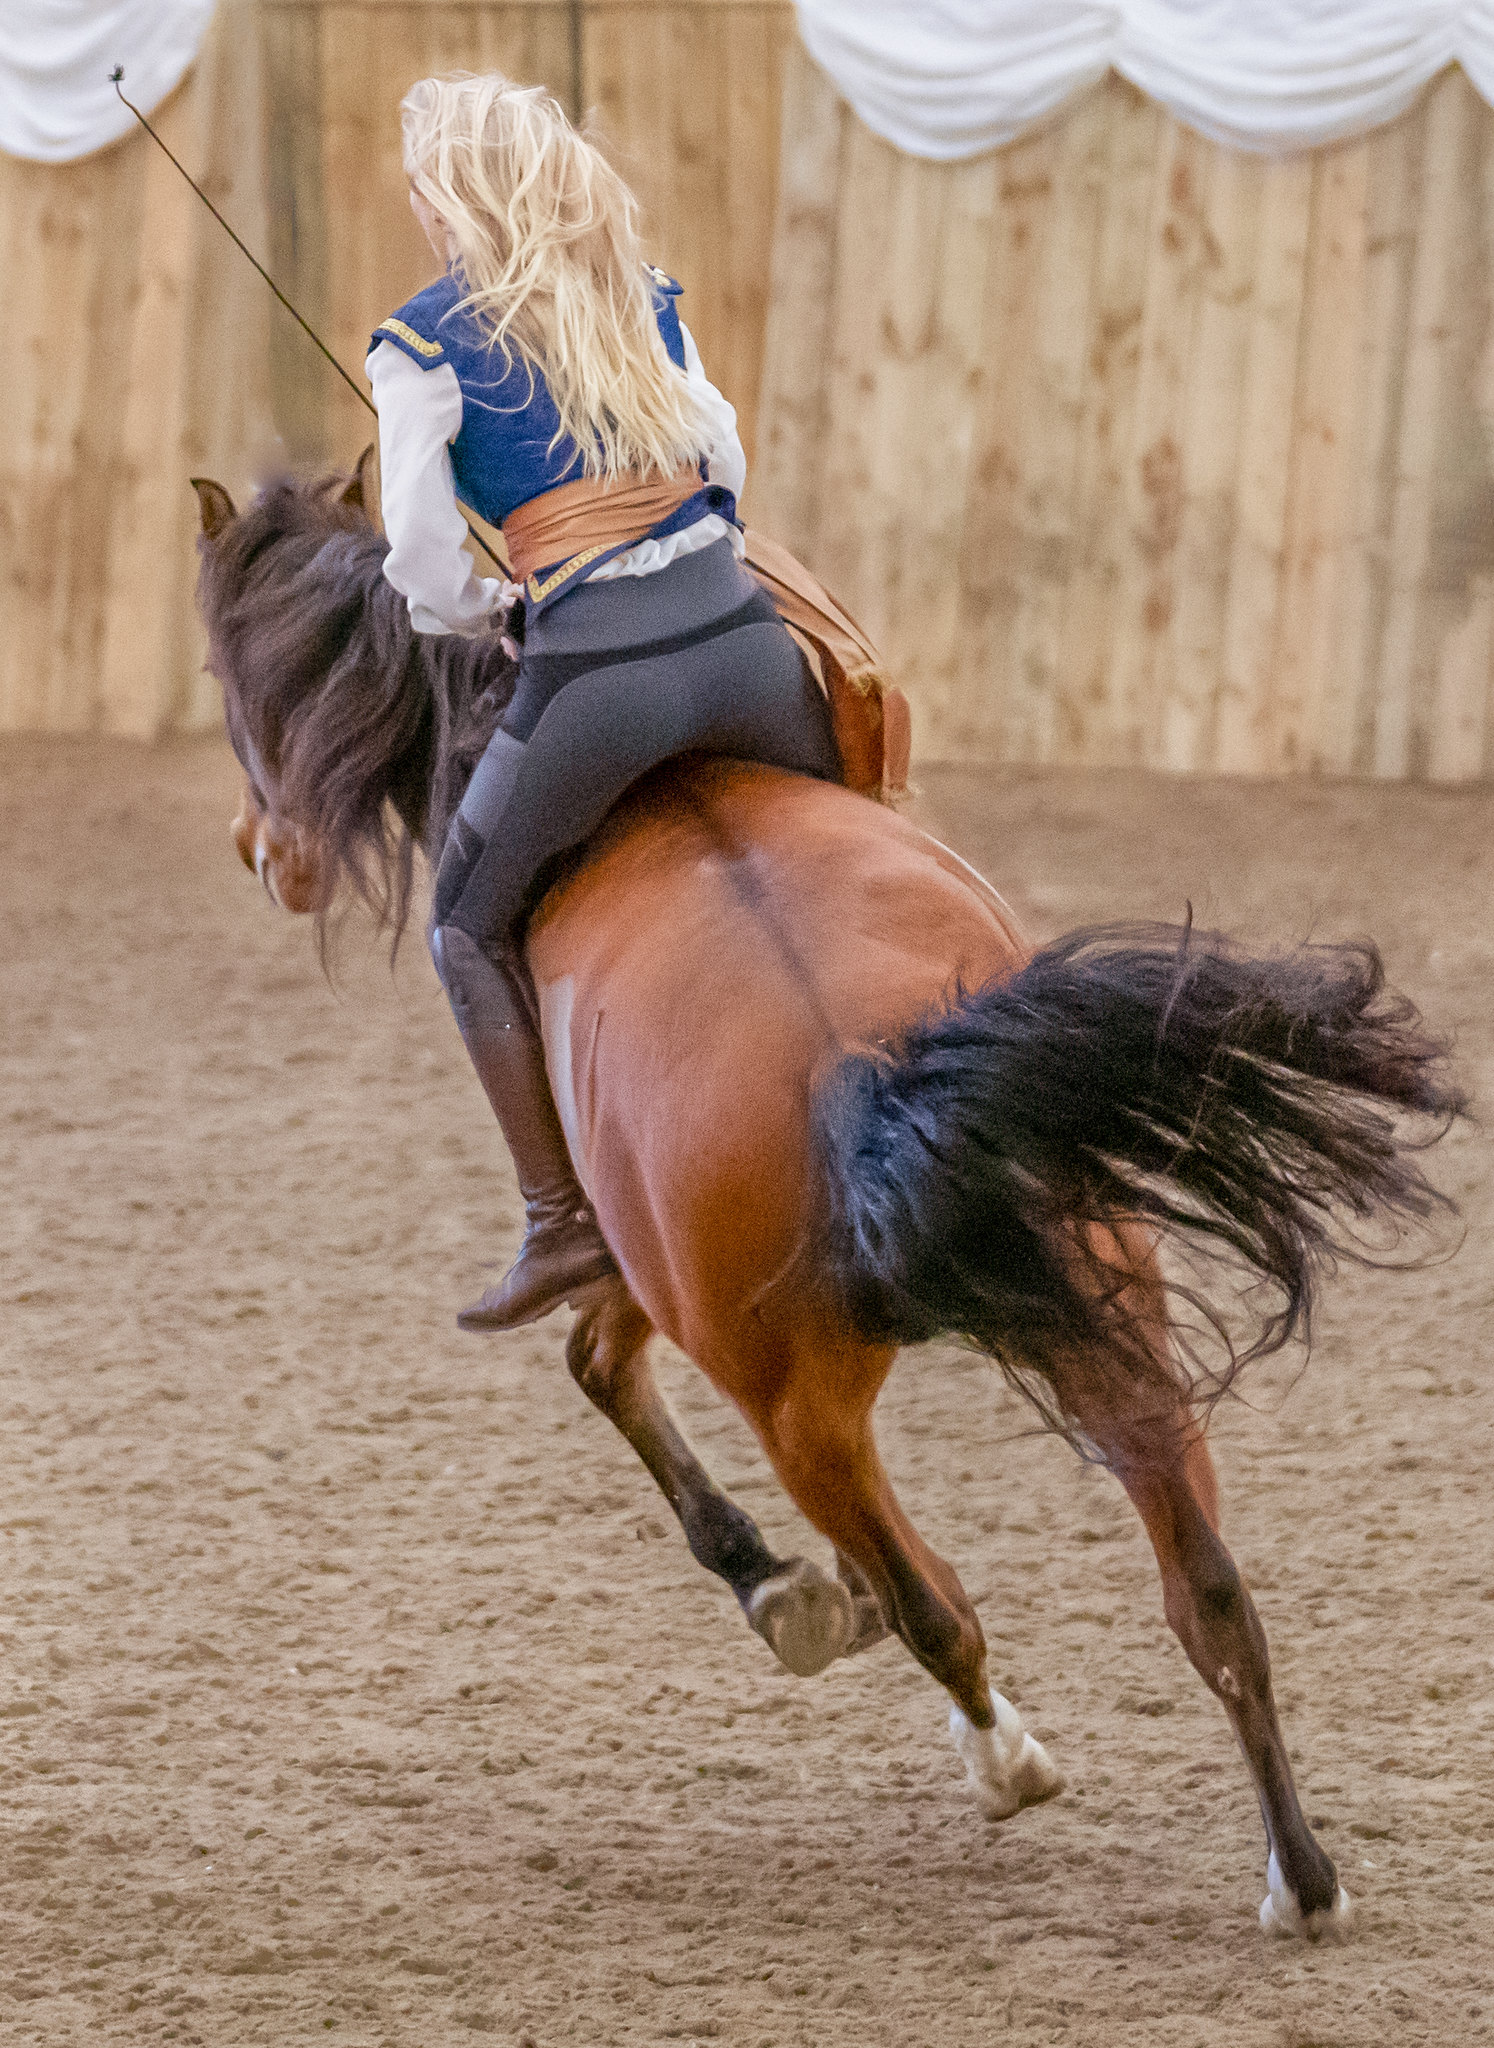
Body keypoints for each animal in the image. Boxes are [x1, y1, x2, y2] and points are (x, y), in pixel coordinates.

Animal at [192, 460, 1462, 1942]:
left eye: (231, 676)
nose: (258, 851)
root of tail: (854, 1062)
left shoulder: (628, 1257)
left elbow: (592, 1360)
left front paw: (778, 1585)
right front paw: (801, 1586)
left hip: (798, 1406)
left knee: (936, 1605)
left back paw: (998, 1750)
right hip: (1107, 1318)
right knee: (1205, 1594)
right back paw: (1299, 1880)